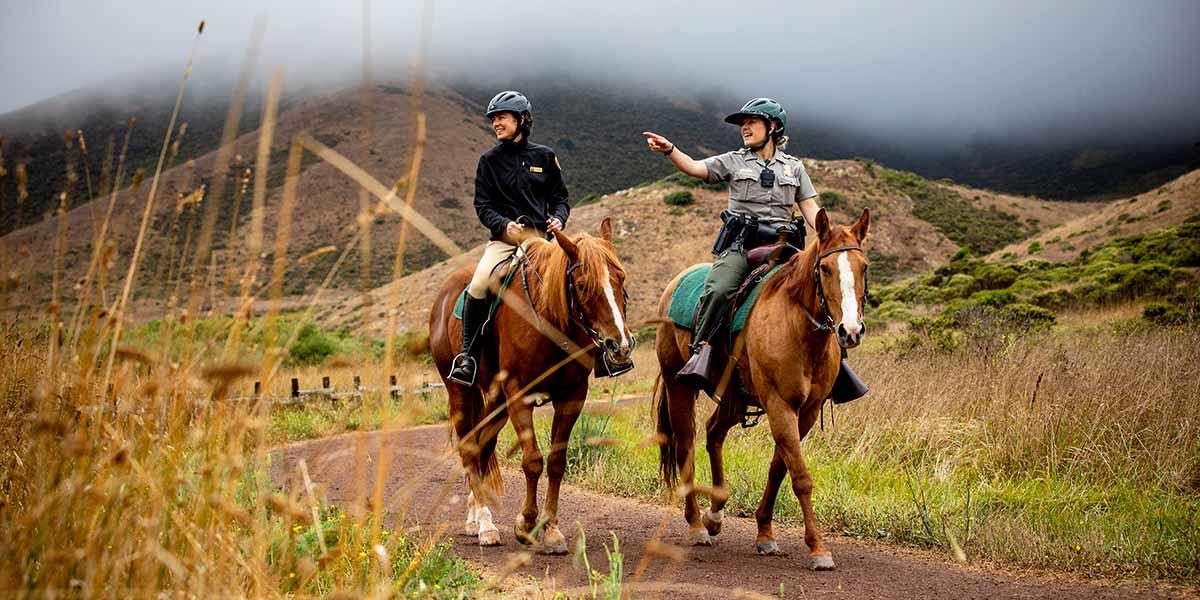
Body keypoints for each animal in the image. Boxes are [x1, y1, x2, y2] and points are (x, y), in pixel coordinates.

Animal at [432, 218, 638, 554]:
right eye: (583, 285)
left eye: (621, 279)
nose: (620, 344)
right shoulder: (519, 395)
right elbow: (532, 461)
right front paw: (526, 525)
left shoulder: (572, 396)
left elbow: (555, 463)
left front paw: (551, 530)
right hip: (461, 392)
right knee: (468, 447)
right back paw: (485, 525)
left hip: (496, 401)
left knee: (482, 445)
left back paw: (475, 515)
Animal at [657, 208, 873, 568]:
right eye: (825, 268)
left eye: (864, 267)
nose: (851, 330)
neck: (799, 329)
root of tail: (674, 284)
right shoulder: (779, 404)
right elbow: (800, 477)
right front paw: (818, 548)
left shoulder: (806, 413)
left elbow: (779, 469)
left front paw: (765, 534)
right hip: (679, 385)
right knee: (686, 442)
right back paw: (698, 525)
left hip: (734, 397)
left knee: (714, 432)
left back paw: (716, 514)